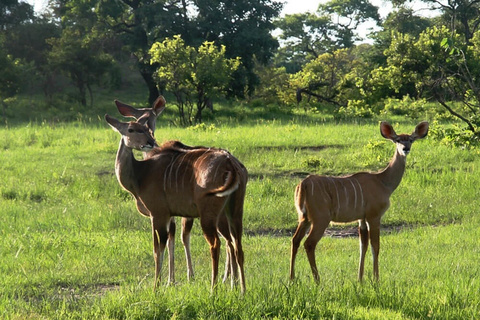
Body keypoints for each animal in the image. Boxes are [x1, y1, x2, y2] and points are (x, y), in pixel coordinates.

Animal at [105, 114, 248, 292]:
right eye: (131, 129)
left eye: (145, 129)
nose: (150, 142)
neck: (140, 174)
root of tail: (230, 163)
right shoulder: (169, 216)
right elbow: (169, 244)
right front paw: (169, 282)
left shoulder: (158, 214)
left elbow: (157, 250)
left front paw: (157, 287)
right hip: (234, 211)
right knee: (237, 245)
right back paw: (241, 290)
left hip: (208, 215)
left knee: (216, 244)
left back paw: (213, 290)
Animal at [290, 122, 430, 282]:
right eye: (398, 140)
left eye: (411, 140)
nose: (406, 149)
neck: (383, 182)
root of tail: (304, 184)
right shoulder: (374, 216)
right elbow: (375, 246)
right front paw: (376, 279)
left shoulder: (361, 219)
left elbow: (363, 246)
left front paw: (360, 279)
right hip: (321, 218)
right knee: (309, 243)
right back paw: (317, 280)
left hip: (304, 218)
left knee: (295, 240)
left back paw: (292, 279)